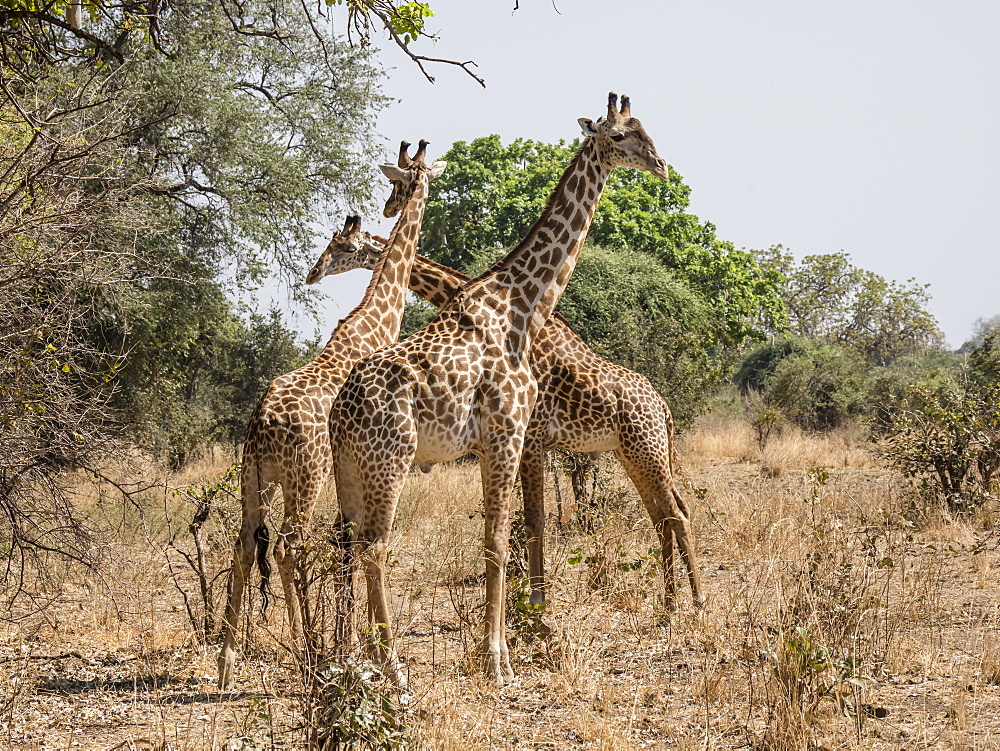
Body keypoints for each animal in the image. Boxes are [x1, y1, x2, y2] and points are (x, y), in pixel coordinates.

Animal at [217, 138, 448, 692]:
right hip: (305, 477)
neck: (375, 322)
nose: (389, 207)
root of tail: (264, 424)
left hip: (254, 477)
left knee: (243, 543)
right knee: (286, 546)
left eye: (339, 245)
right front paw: (358, 649)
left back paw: (227, 662)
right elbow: (352, 549)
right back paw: (306, 650)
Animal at [308, 253, 708, 616]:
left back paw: (695, 602)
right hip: (632, 452)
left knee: (678, 513)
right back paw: (670, 602)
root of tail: (663, 408)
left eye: (342, 246)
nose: (314, 273)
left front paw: (538, 602)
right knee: (663, 516)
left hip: (646, 449)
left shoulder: (531, 435)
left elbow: (533, 519)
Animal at [330, 94, 672, 688]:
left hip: (349, 469)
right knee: (375, 547)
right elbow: (501, 539)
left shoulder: (506, 441)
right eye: (621, 136)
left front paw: (509, 645)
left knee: (350, 547)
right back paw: (393, 669)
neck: (523, 305)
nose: (662, 166)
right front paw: (499, 657)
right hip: (389, 462)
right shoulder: (509, 435)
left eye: (645, 130)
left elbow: (505, 536)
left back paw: (356, 659)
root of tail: (338, 415)